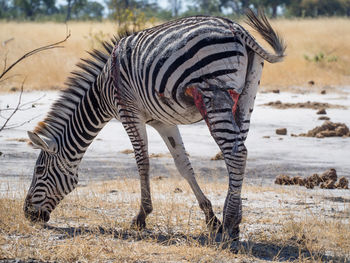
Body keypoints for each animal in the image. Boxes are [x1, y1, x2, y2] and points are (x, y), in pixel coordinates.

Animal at [24, 9, 286, 244]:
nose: (27, 214)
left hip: (214, 93)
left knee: (235, 153)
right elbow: (183, 165)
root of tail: (236, 28)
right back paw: (235, 222)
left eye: (39, 171)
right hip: (246, 97)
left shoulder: (128, 112)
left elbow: (143, 162)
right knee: (239, 153)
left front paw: (141, 217)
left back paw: (231, 222)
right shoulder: (163, 121)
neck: (102, 93)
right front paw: (211, 218)